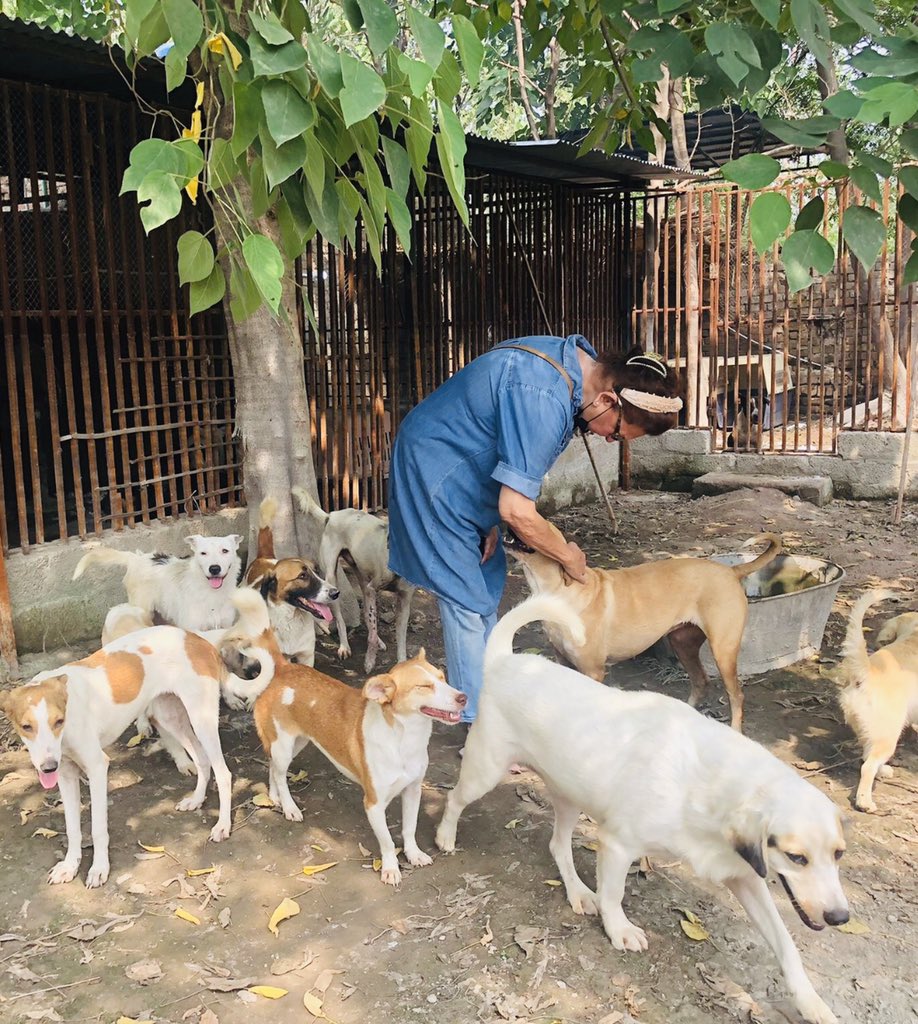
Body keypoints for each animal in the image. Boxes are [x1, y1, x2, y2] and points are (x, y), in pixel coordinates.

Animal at [243, 497, 340, 671]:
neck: (291, 619)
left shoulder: (306, 656)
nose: (335, 593)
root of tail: (264, 557)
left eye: (316, 570)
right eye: (302, 576)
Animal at [253, 634, 463, 884]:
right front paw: (390, 868)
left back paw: (274, 797)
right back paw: (289, 807)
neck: (404, 739)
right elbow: (388, 842)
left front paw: (414, 854)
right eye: (424, 686)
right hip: (284, 746)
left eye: (442, 678)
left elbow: (409, 829)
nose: (463, 697)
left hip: (296, 743)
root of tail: (285, 668)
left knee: (274, 768)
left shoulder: (413, 790)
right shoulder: (373, 804)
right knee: (280, 773)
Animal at [438, 593, 852, 1024]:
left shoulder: (745, 876)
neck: (711, 781)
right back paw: (444, 837)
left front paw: (812, 1003)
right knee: (454, 799)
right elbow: (614, 894)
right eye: (797, 857)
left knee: (557, 845)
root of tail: (504, 659)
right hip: (485, 771)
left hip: (569, 794)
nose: (840, 918)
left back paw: (578, 892)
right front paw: (619, 929)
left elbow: (787, 946)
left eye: (839, 854)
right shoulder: (618, 844)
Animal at [506, 524, 778, 733]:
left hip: (723, 651)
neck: (561, 593)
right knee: (701, 681)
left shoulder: (593, 671)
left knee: (736, 696)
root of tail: (730, 570)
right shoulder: (563, 661)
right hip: (683, 643)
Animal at [831, 593, 918, 815]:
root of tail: (867, 673)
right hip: (888, 735)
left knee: (866, 755)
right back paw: (865, 802)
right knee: (867, 766)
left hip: (869, 729)